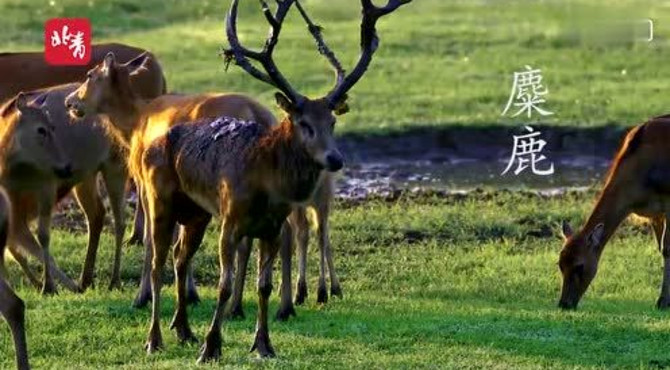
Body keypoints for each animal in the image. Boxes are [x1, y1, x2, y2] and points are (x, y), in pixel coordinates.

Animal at [560, 116, 670, 310]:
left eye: (580, 266)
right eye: (559, 263)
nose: (564, 303)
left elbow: (668, 249)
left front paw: (663, 302)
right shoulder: (655, 213)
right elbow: (661, 248)